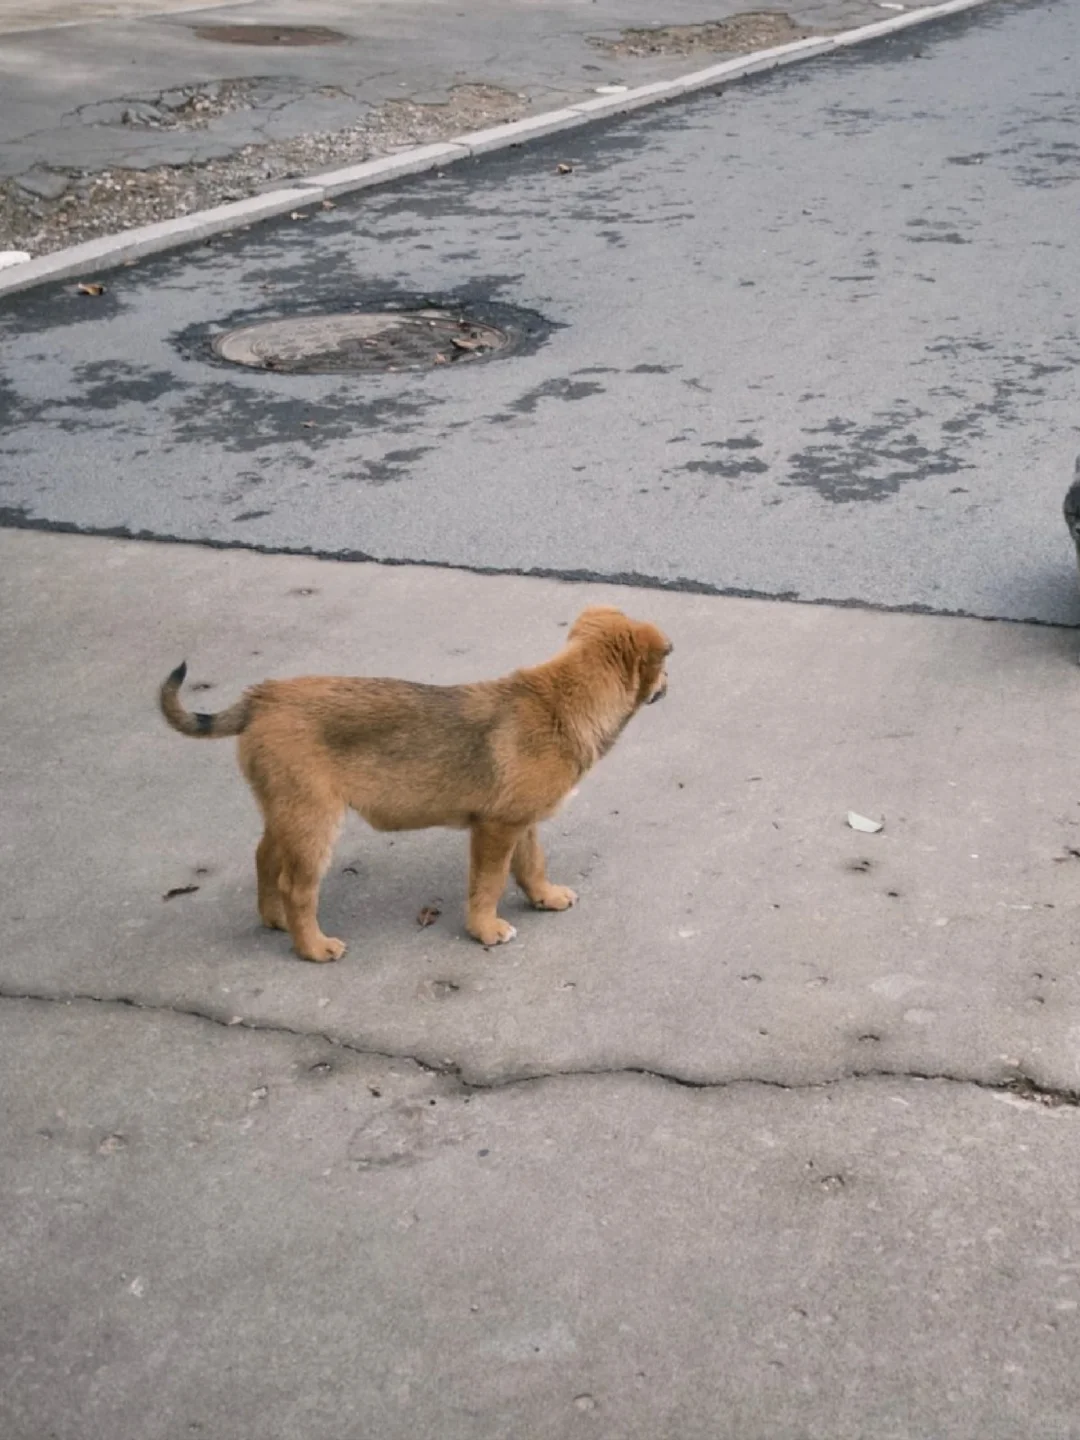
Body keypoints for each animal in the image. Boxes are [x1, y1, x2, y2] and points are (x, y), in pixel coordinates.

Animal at [157, 601, 673, 961]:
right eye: (666, 662)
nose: (670, 684)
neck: (562, 703)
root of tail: (261, 697)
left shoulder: (520, 822)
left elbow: (532, 865)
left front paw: (546, 897)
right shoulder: (496, 829)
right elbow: (489, 883)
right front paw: (485, 930)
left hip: (287, 809)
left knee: (264, 858)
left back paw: (273, 919)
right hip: (314, 821)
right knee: (296, 887)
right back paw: (314, 947)